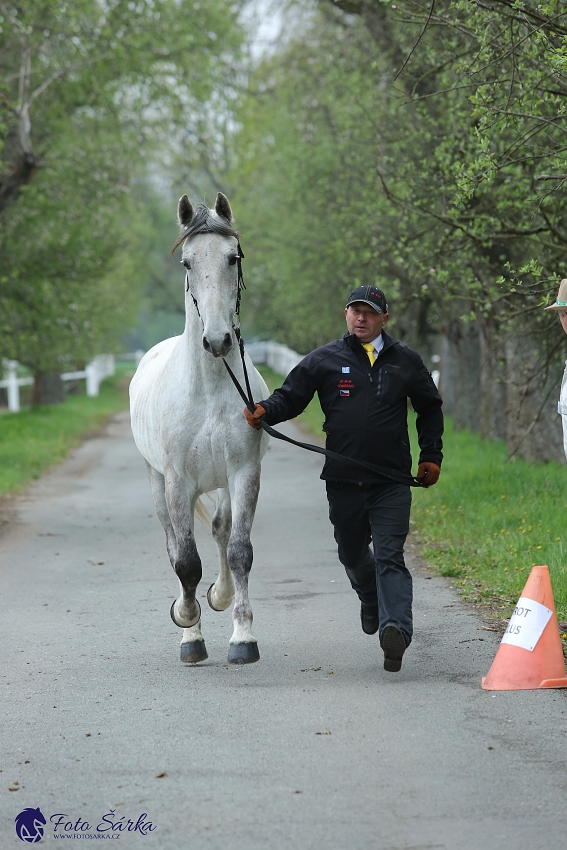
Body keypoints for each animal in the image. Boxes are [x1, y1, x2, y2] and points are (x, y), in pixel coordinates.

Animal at [130, 192, 270, 664]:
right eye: (188, 262)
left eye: (233, 257)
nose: (217, 341)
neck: (208, 388)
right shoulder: (178, 481)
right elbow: (186, 562)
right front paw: (188, 626)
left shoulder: (244, 472)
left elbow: (240, 550)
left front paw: (243, 638)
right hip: (158, 483)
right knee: (176, 545)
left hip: (222, 482)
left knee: (221, 531)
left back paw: (220, 596)